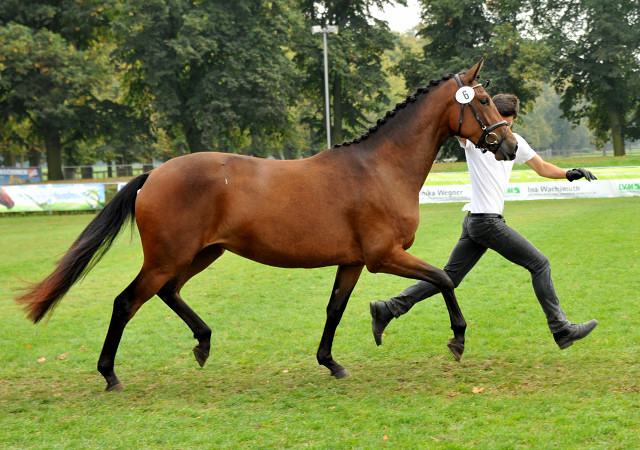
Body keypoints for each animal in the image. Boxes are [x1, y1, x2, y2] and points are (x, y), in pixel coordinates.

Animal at [15, 59, 516, 390]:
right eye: (484, 101)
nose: (509, 145)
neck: (380, 169)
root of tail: (153, 175)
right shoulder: (383, 256)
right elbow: (442, 279)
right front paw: (457, 340)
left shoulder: (353, 262)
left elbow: (335, 310)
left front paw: (330, 362)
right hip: (167, 256)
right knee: (126, 302)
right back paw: (110, 374)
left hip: (201, 253)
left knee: (168, 292)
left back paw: (202, 343)